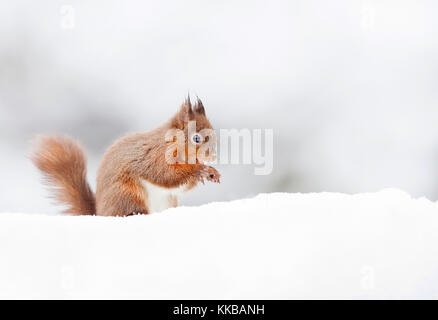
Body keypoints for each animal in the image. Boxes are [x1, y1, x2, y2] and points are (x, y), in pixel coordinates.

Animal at [30, 97, 221, 218]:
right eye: (196, 138)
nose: (212, 156)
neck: (171, 142)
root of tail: (100, 212)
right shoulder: (153, 156)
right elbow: (164, 175)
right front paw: (199, 169)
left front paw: (211, 172)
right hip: (127, 194)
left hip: (167, 201)